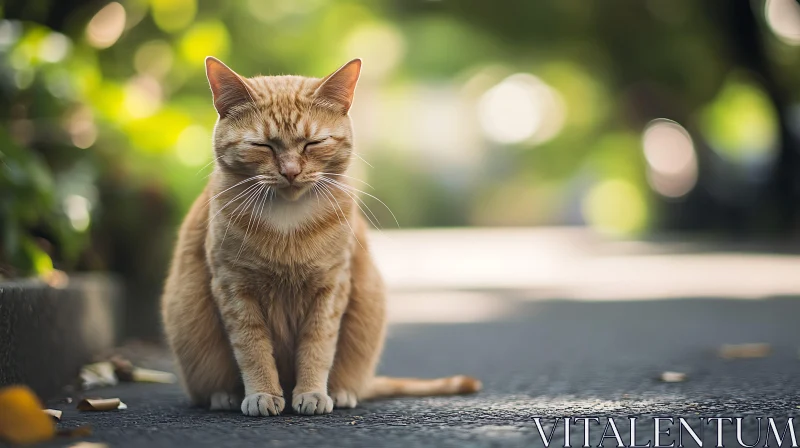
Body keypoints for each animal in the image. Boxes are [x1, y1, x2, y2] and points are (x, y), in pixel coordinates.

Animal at [159, 57, 478, 416]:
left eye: (312, 143)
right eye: (263, 145)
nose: (290, 171)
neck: (287, 221)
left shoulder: (331, 288)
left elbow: (318, 346)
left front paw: (312, 392)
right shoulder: (233, 288)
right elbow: (252, 348)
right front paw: (262, 393)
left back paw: (340, 392)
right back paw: (224, 396)